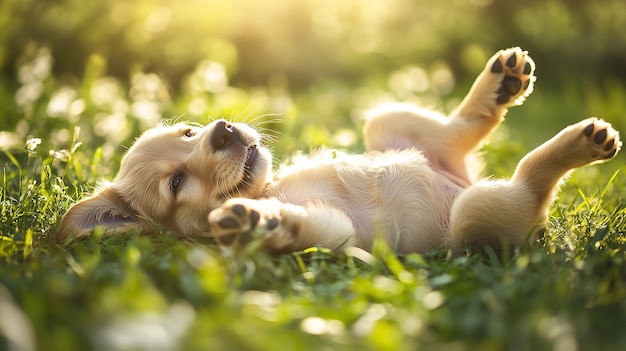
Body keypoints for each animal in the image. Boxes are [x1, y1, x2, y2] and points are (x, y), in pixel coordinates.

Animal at [59, 48, 620, 254]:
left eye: (189, 132)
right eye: (176, 183)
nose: (222, 131)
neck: (272, 186)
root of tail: (462, 181)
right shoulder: (337, 233)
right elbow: (297, 227)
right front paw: (255, 223)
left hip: (387, 124)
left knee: (451, 130)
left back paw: (500, 84)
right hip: (475, 217)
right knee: (529, 184)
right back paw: (579, 143)